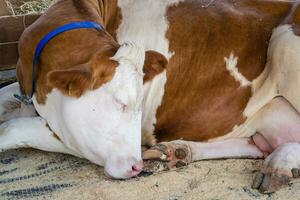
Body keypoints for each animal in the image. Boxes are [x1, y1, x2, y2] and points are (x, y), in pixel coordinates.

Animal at [0, 0, 300, 193]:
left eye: (136, 105)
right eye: (121, 103)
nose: (136, 166)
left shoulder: (76, 135)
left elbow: (12, 128)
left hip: (285, 43)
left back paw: (279, 165)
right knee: (258, 145)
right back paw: (177, 151)